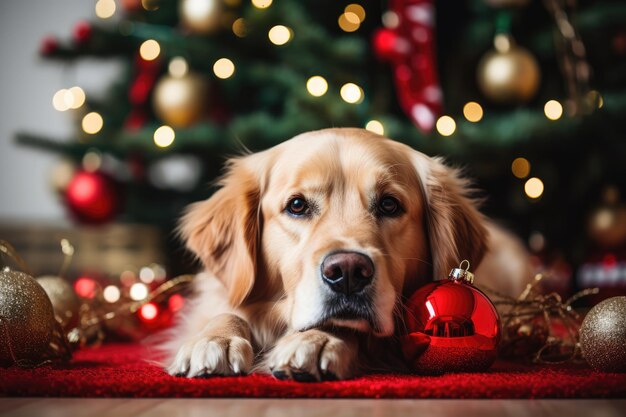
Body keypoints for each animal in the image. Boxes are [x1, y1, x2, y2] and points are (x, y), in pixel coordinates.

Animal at [163, 127, 528, 380]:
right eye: (297, 205)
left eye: (389, 204)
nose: (349, 272)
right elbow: (227, 312)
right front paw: (213, 340)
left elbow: (347, 326)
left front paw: (316, 341)